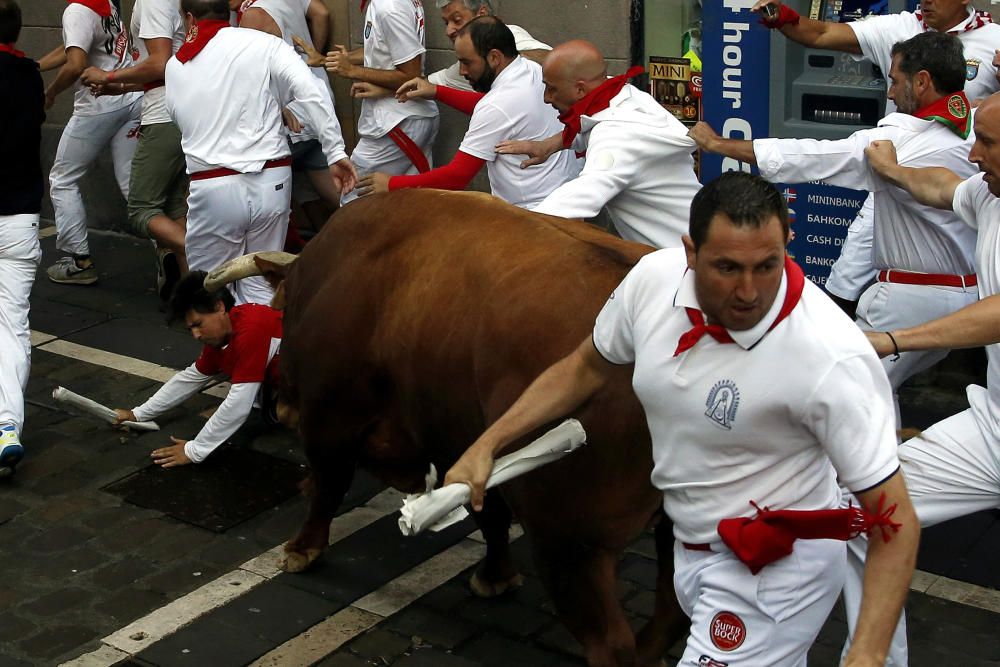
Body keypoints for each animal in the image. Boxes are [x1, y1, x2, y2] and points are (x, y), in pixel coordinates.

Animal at [208, 190, 692, 664]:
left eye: (281, 311)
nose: (282, 405)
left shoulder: (332, 420)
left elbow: (328, 486)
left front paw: (301, 550)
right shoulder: (465, 441)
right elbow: (490, 514)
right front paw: (496, 577)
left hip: (571, 541)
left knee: (612, 644)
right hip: (668, 527)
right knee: (670, 613)